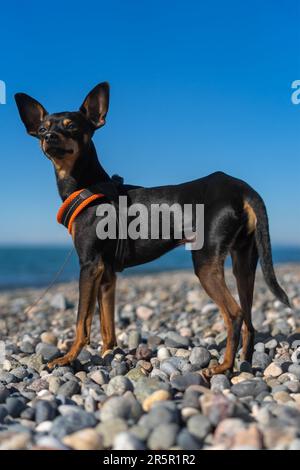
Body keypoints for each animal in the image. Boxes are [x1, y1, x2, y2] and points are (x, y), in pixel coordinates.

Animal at [14, 82, 290, 376]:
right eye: (42, 129)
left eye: (72, 127)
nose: (49, 137)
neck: (85, 186)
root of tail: (242, 188)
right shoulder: (107, 274)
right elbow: (107, 326)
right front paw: (109, 354)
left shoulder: (89, 266)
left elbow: (82, 322)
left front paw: (67, 358)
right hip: (244, 262)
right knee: (249, 319)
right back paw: (246, 362)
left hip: (205, 262)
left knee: (235, 314)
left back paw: (223, 366)